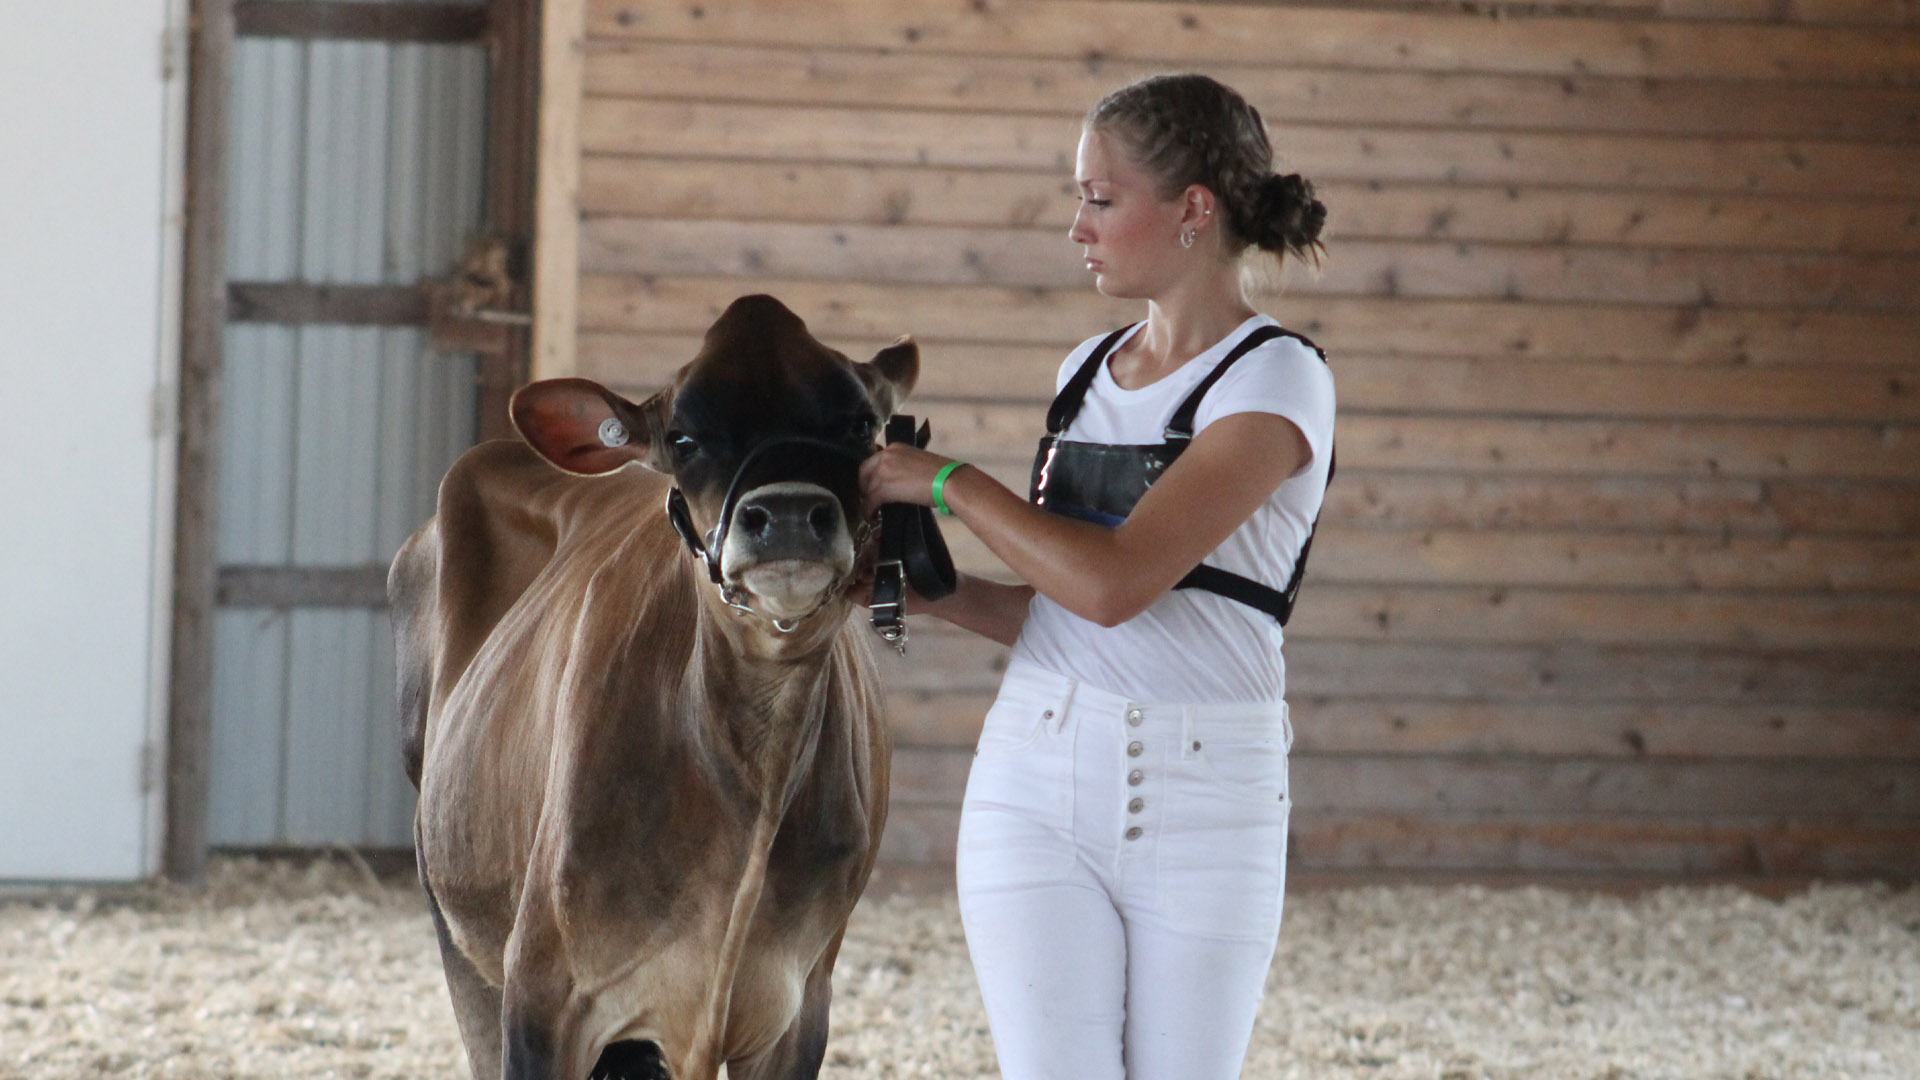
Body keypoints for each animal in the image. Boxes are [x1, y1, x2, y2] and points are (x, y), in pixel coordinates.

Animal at [388, 295, 917, 1080]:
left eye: (858, 423)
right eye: (684, 436)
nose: (790, 514)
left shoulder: (799, 1002)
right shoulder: (541, 990)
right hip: (454, 922)